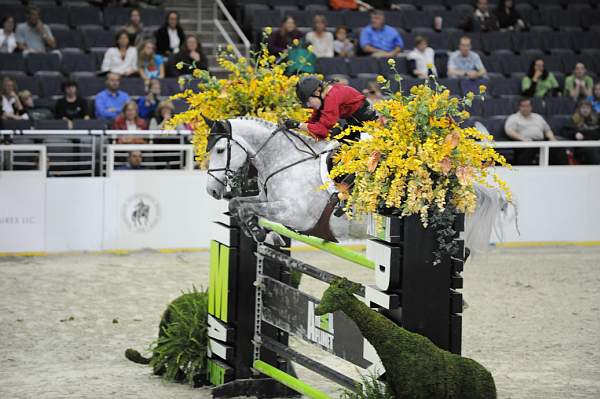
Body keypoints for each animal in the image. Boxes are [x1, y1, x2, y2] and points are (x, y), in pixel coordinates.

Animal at [202, 114, 506, 248]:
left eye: (220, 150)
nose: (212, 190)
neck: (285, 161)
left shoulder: (294, 213)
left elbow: (246, 206)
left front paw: (260, 232)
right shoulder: (266, 200)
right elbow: (240, 204)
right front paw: (261, 232)